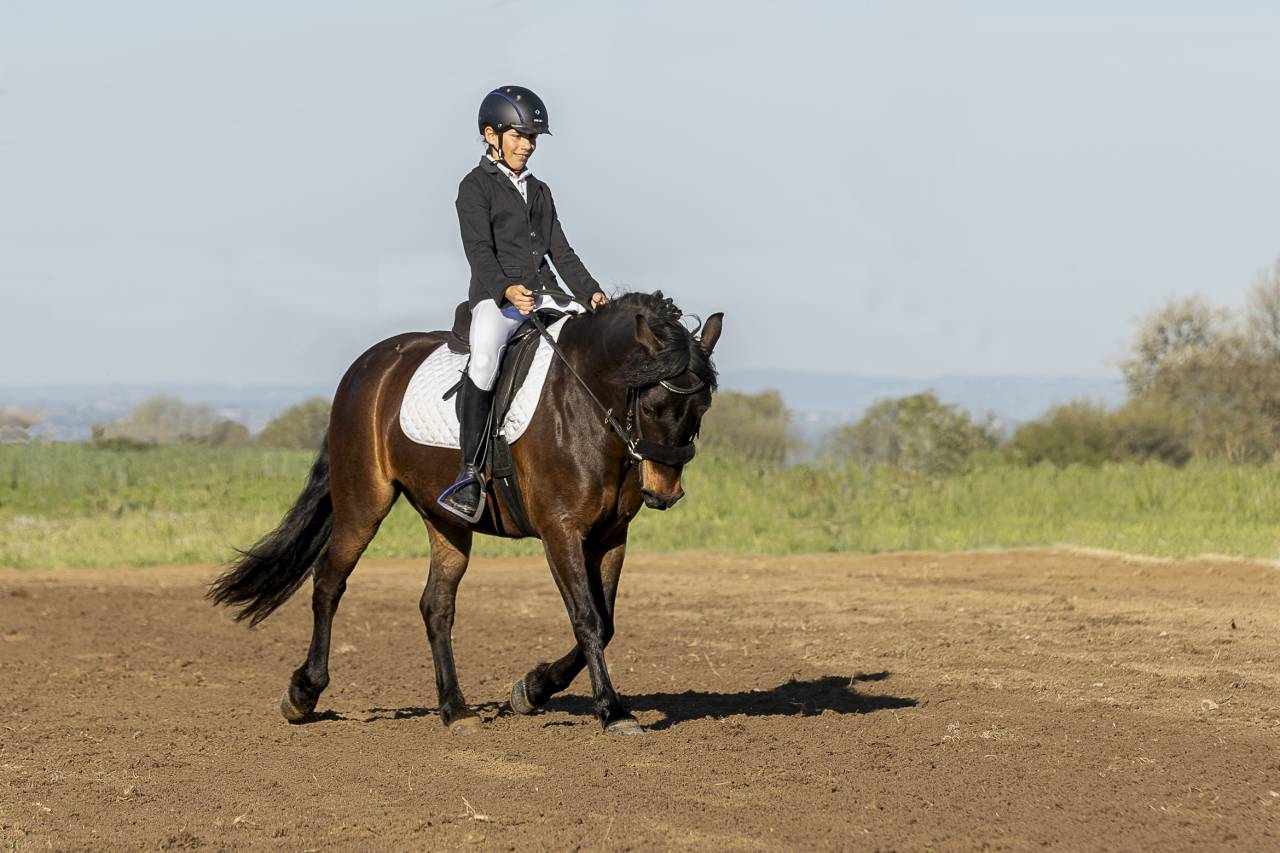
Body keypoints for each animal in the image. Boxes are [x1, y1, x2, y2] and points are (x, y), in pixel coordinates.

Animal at [208, 291, 723, 735]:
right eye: (653, 405)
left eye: (702, 408)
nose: (665, 492)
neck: (587, 405)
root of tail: (367, 366)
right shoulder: (561, 531)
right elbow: (587, 618)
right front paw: (612, 711)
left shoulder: (611, 535)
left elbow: (607, 621)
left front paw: (531, 690)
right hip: (363, 503)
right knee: (330, 580)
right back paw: (303, 693)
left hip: (447, 523)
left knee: (436, 605)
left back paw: (455, 710)